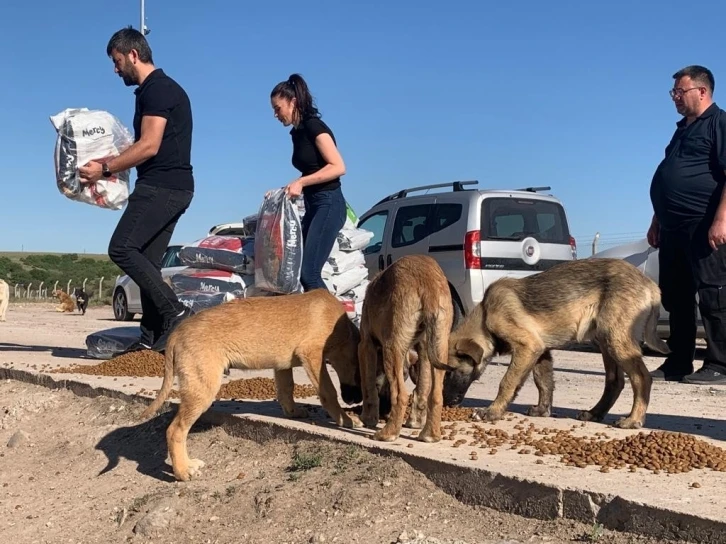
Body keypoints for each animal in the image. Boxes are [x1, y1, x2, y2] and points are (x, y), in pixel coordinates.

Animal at [139, 288, 364, 480]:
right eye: (361, 377)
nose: (356, 402)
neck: (343, 328)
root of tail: (177, 332)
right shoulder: (312, 355)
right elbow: (329, 392)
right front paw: (346, 419)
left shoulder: (283, 365)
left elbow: (286, 389)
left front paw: (293, 412)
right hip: (202, 389)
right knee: (175, 430)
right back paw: (183, 470)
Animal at [360, 255, 456, 442]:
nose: (385, 410)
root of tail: (428, 283)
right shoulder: (423, 350)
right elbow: (421, 388)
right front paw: (415, 422)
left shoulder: (366, 344)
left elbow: (368, 386)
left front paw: (367, 419)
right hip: (439, 343)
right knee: (435, 394)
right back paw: (430, 434)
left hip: (392, 346)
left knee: (400, 395)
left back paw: (388, 433)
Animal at [438, 258, 672, 432]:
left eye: (449, 373)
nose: (445, 402)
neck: (486, 315)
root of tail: (650, 284)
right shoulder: (540, 351)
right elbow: (543, 382)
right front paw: (543, 410)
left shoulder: (527, 346)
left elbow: (507, 382)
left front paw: (492, 412)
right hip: (605, 340)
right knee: (615, 381)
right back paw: (595, 413)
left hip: (615, 339)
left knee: (641, 378)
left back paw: (633, 420)